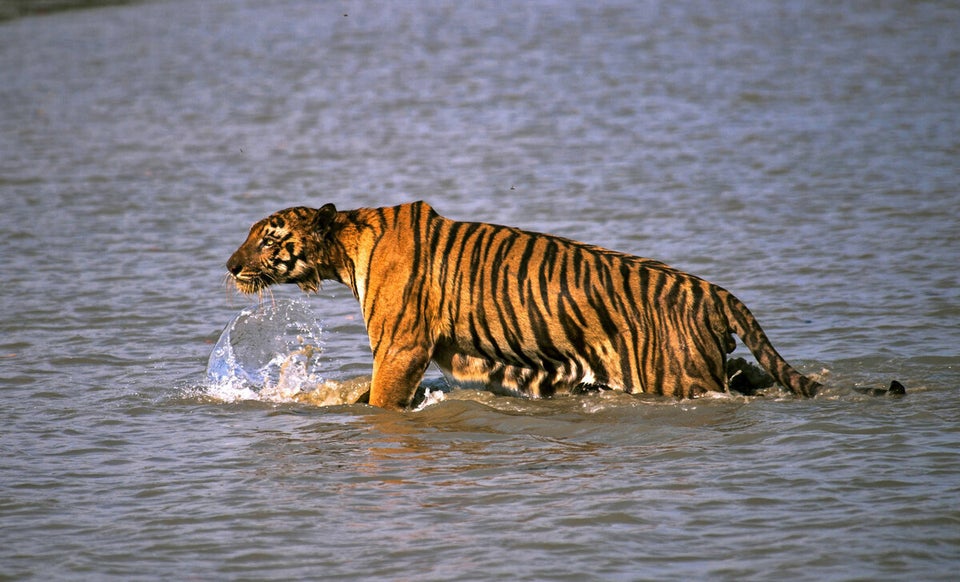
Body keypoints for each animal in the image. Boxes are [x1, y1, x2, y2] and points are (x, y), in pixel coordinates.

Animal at [225, 203, 900, 412]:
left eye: (268, 237)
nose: (230, 265)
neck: (346, 246)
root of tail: (715, 290)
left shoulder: (400, 347)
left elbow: (380, 401)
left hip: (675, 375)